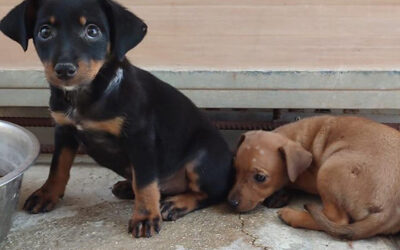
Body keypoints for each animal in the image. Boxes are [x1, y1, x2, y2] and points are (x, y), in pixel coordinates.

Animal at [0, 0, 231, 237]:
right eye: (45, 32)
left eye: (92, 31)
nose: (64, 70)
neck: (86, 95)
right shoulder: (64, 130)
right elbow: (58, 166)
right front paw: (47, 194)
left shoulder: (140, 137)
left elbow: (146, 182)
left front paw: (145, 216)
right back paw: (129, 187)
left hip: (203, 157)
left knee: (211, 193)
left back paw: (176, 203)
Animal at [230, 115, 400, 240]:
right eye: (235, 169)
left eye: (260, 177)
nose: (231, 202)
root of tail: (389, 212)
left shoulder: (309, 177)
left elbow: (290, 181)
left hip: (329, 168)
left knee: (337, 219)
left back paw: (292, 215)